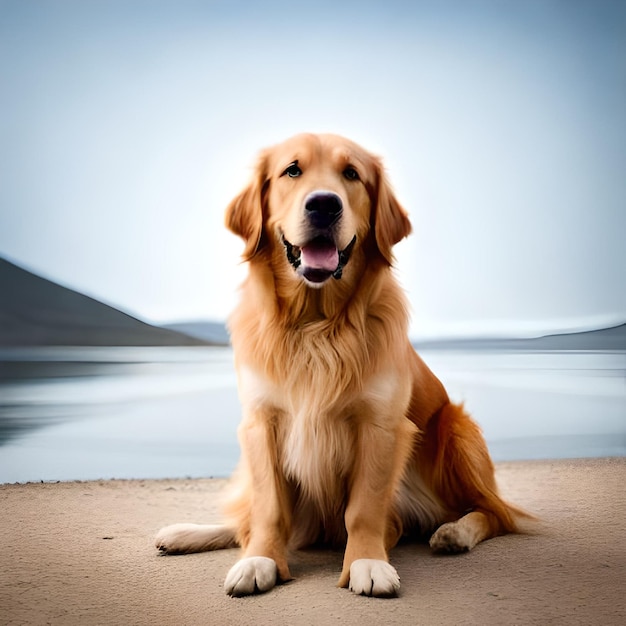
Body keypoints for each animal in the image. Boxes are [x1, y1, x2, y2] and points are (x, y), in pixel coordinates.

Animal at [155, 133, 528, 596]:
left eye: (351, 173)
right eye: (292, 170)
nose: (323, 204)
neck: (316, 325)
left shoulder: (380, 424)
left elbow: (363, 509)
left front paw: (367, 563)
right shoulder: (261, 421)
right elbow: (268, 509)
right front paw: (260, 560)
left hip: (456, 429)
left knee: (494, 512)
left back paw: (455, 532)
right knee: (246, 518)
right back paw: (183, 533)